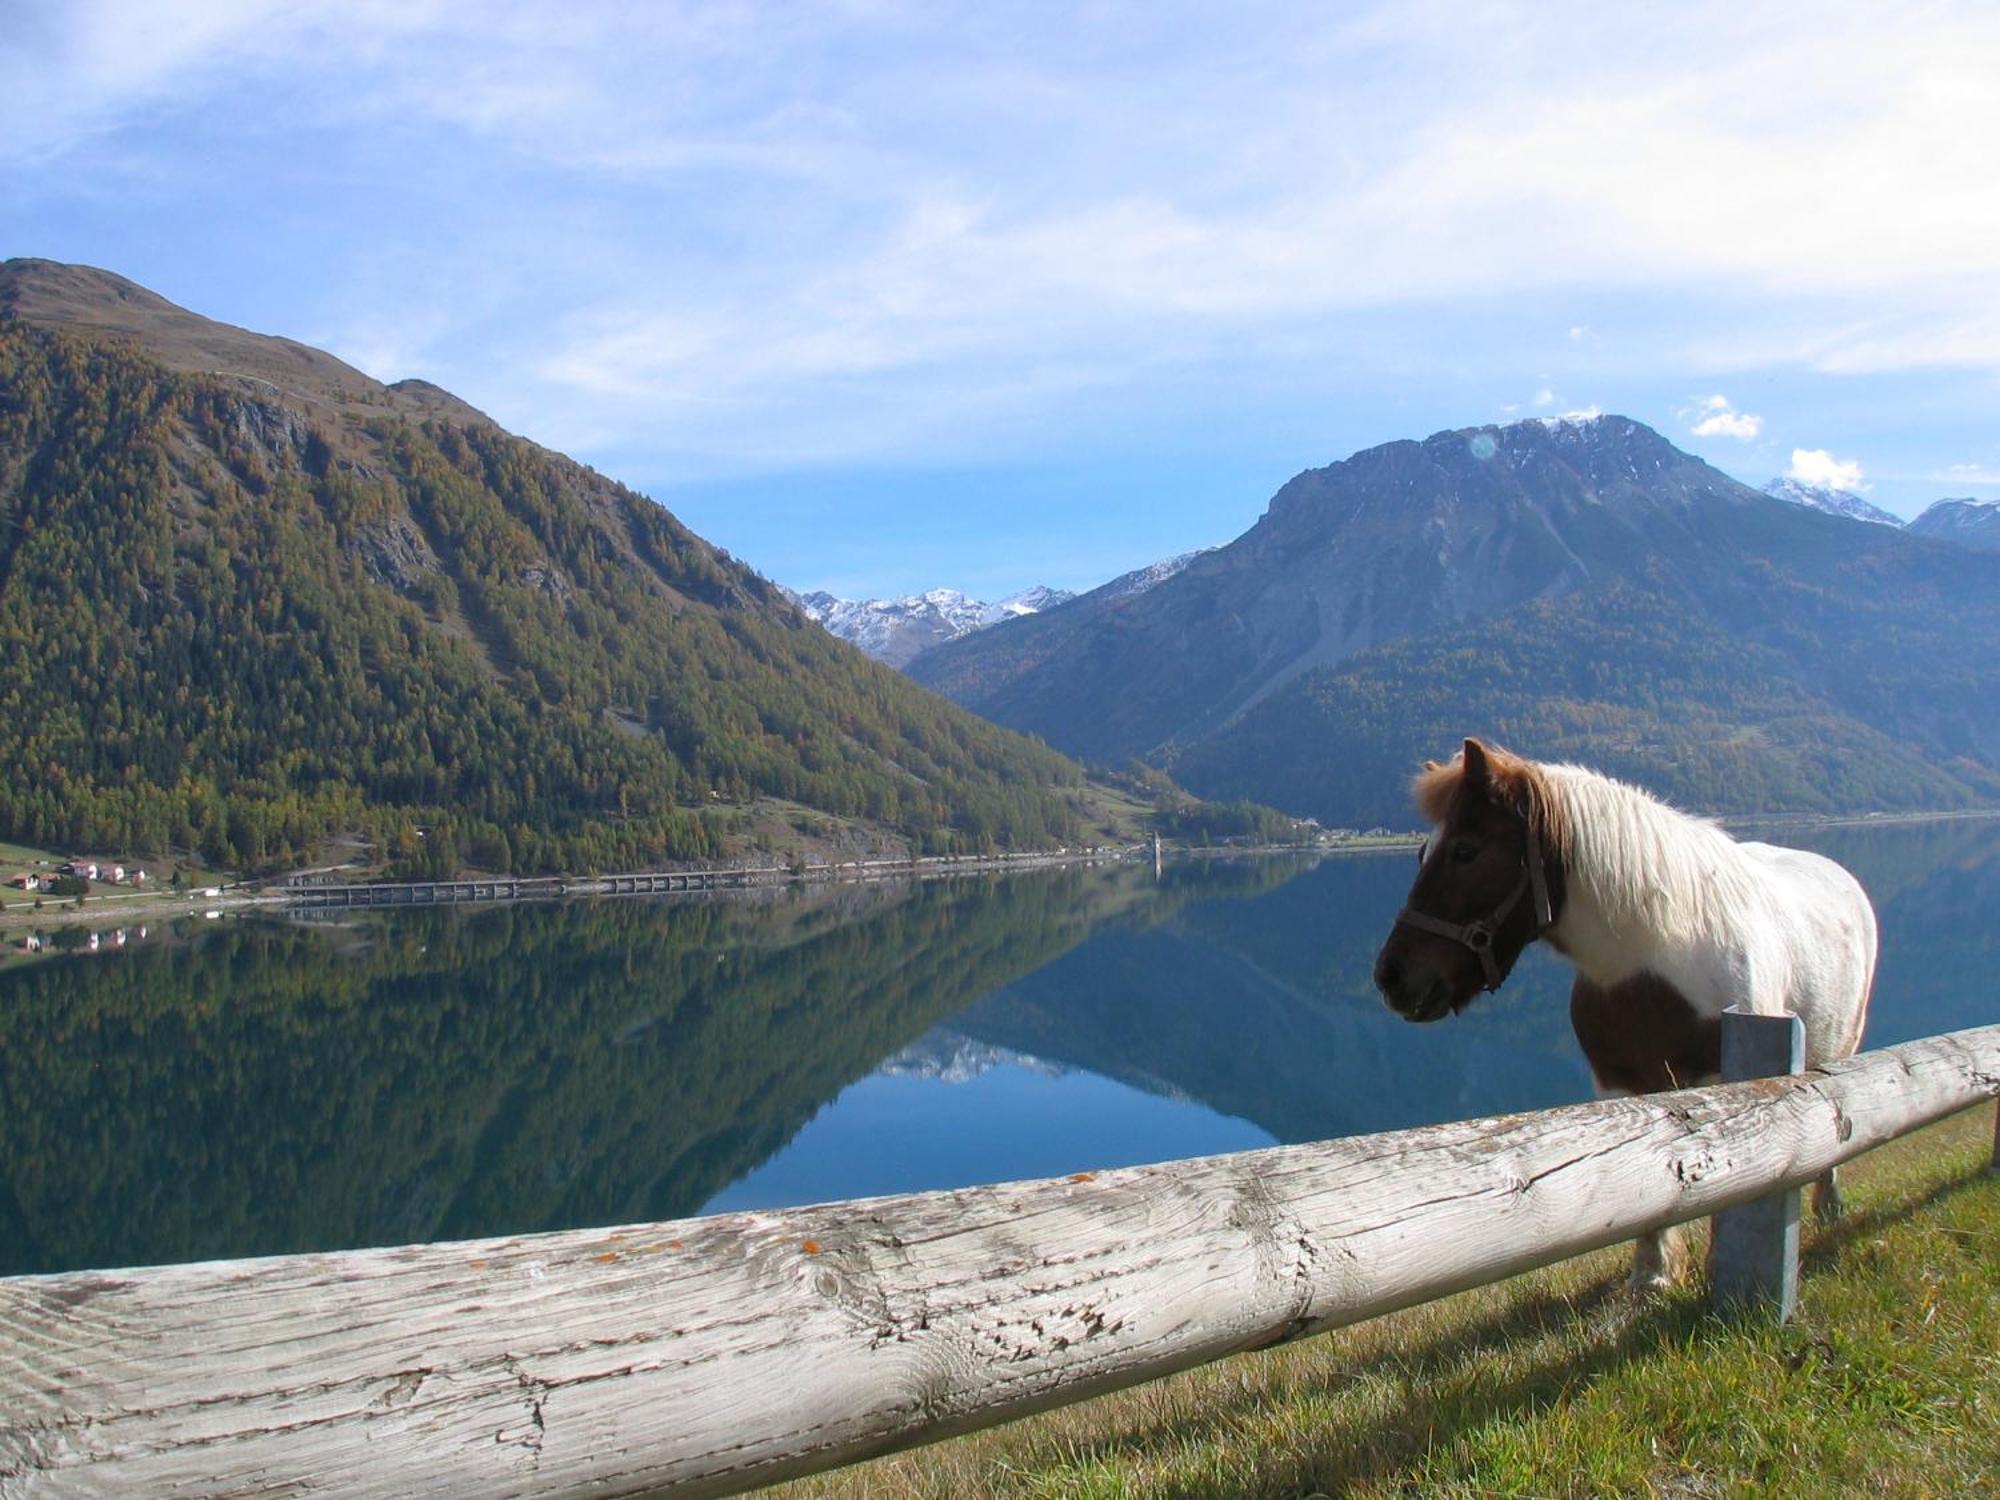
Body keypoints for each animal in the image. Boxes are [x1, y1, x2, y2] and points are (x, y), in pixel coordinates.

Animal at [1376, 740, 1872, 1296]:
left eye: (1465, 850)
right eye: (1422, 853)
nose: (1391, 976)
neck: (1652, 962)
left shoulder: (1731, 1083)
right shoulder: (1621, 1084)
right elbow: (1648, 1174)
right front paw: (1652, 1273)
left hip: (1842, 1044)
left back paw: (1830, 1206)